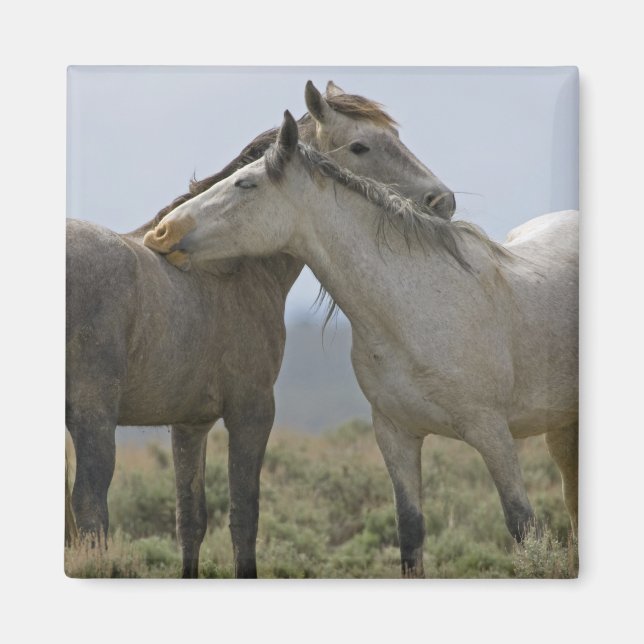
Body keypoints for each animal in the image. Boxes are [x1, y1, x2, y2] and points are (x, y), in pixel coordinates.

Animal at [66, 81, 455, 578]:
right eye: (361, 145)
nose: (443, 202)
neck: (226, 267)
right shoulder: (251, 412)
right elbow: (243, 518)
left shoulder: (189, 424)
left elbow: (190, 520)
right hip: (93, 419)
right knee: (90, 509)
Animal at [145, 111, 579, 578]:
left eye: (246, 184)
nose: (162, 232)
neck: (418, 305)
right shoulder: (395, 434)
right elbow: (410, 533)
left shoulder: (493, 433)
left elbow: (524, 528)